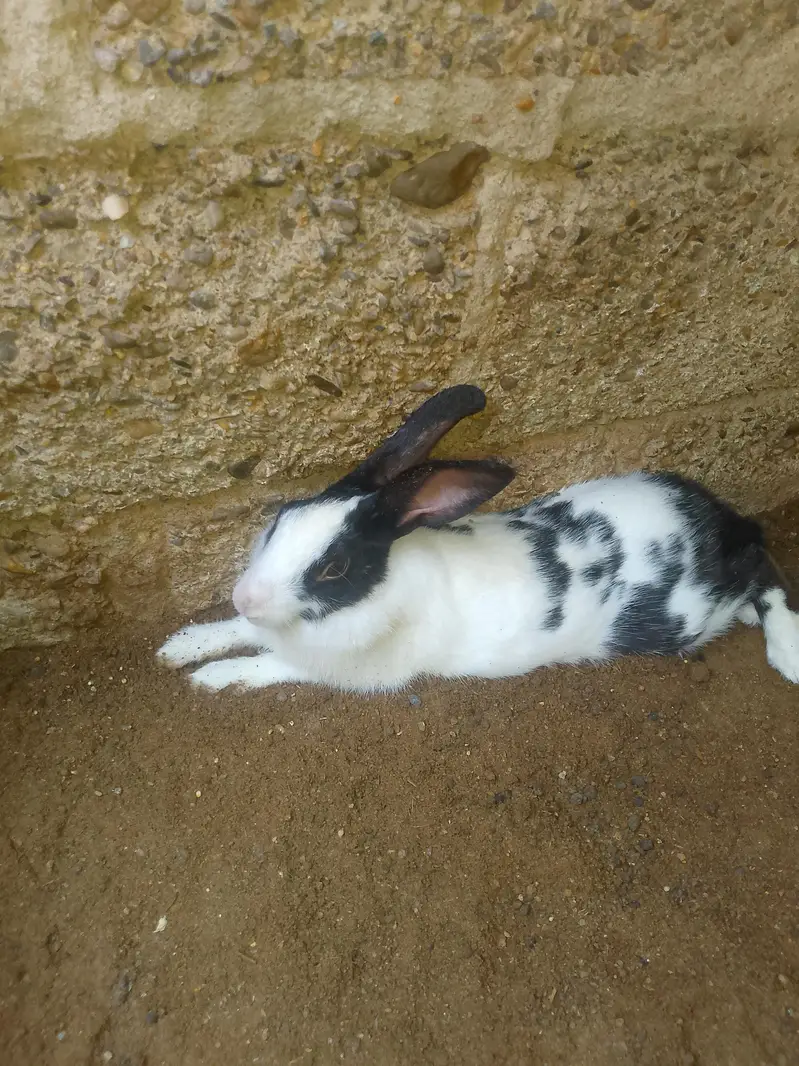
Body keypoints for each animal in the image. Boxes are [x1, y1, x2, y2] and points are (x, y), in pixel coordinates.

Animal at [157, 385, 799, 693]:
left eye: (334, 568)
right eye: (281, 519)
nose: (245, 596)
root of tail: (715, 521)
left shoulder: (344, 669)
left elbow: (267, 665)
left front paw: (210, 680)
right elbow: (235, 632)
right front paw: (179, 648)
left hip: (686, 613)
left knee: (764, 564)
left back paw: (785, 651)